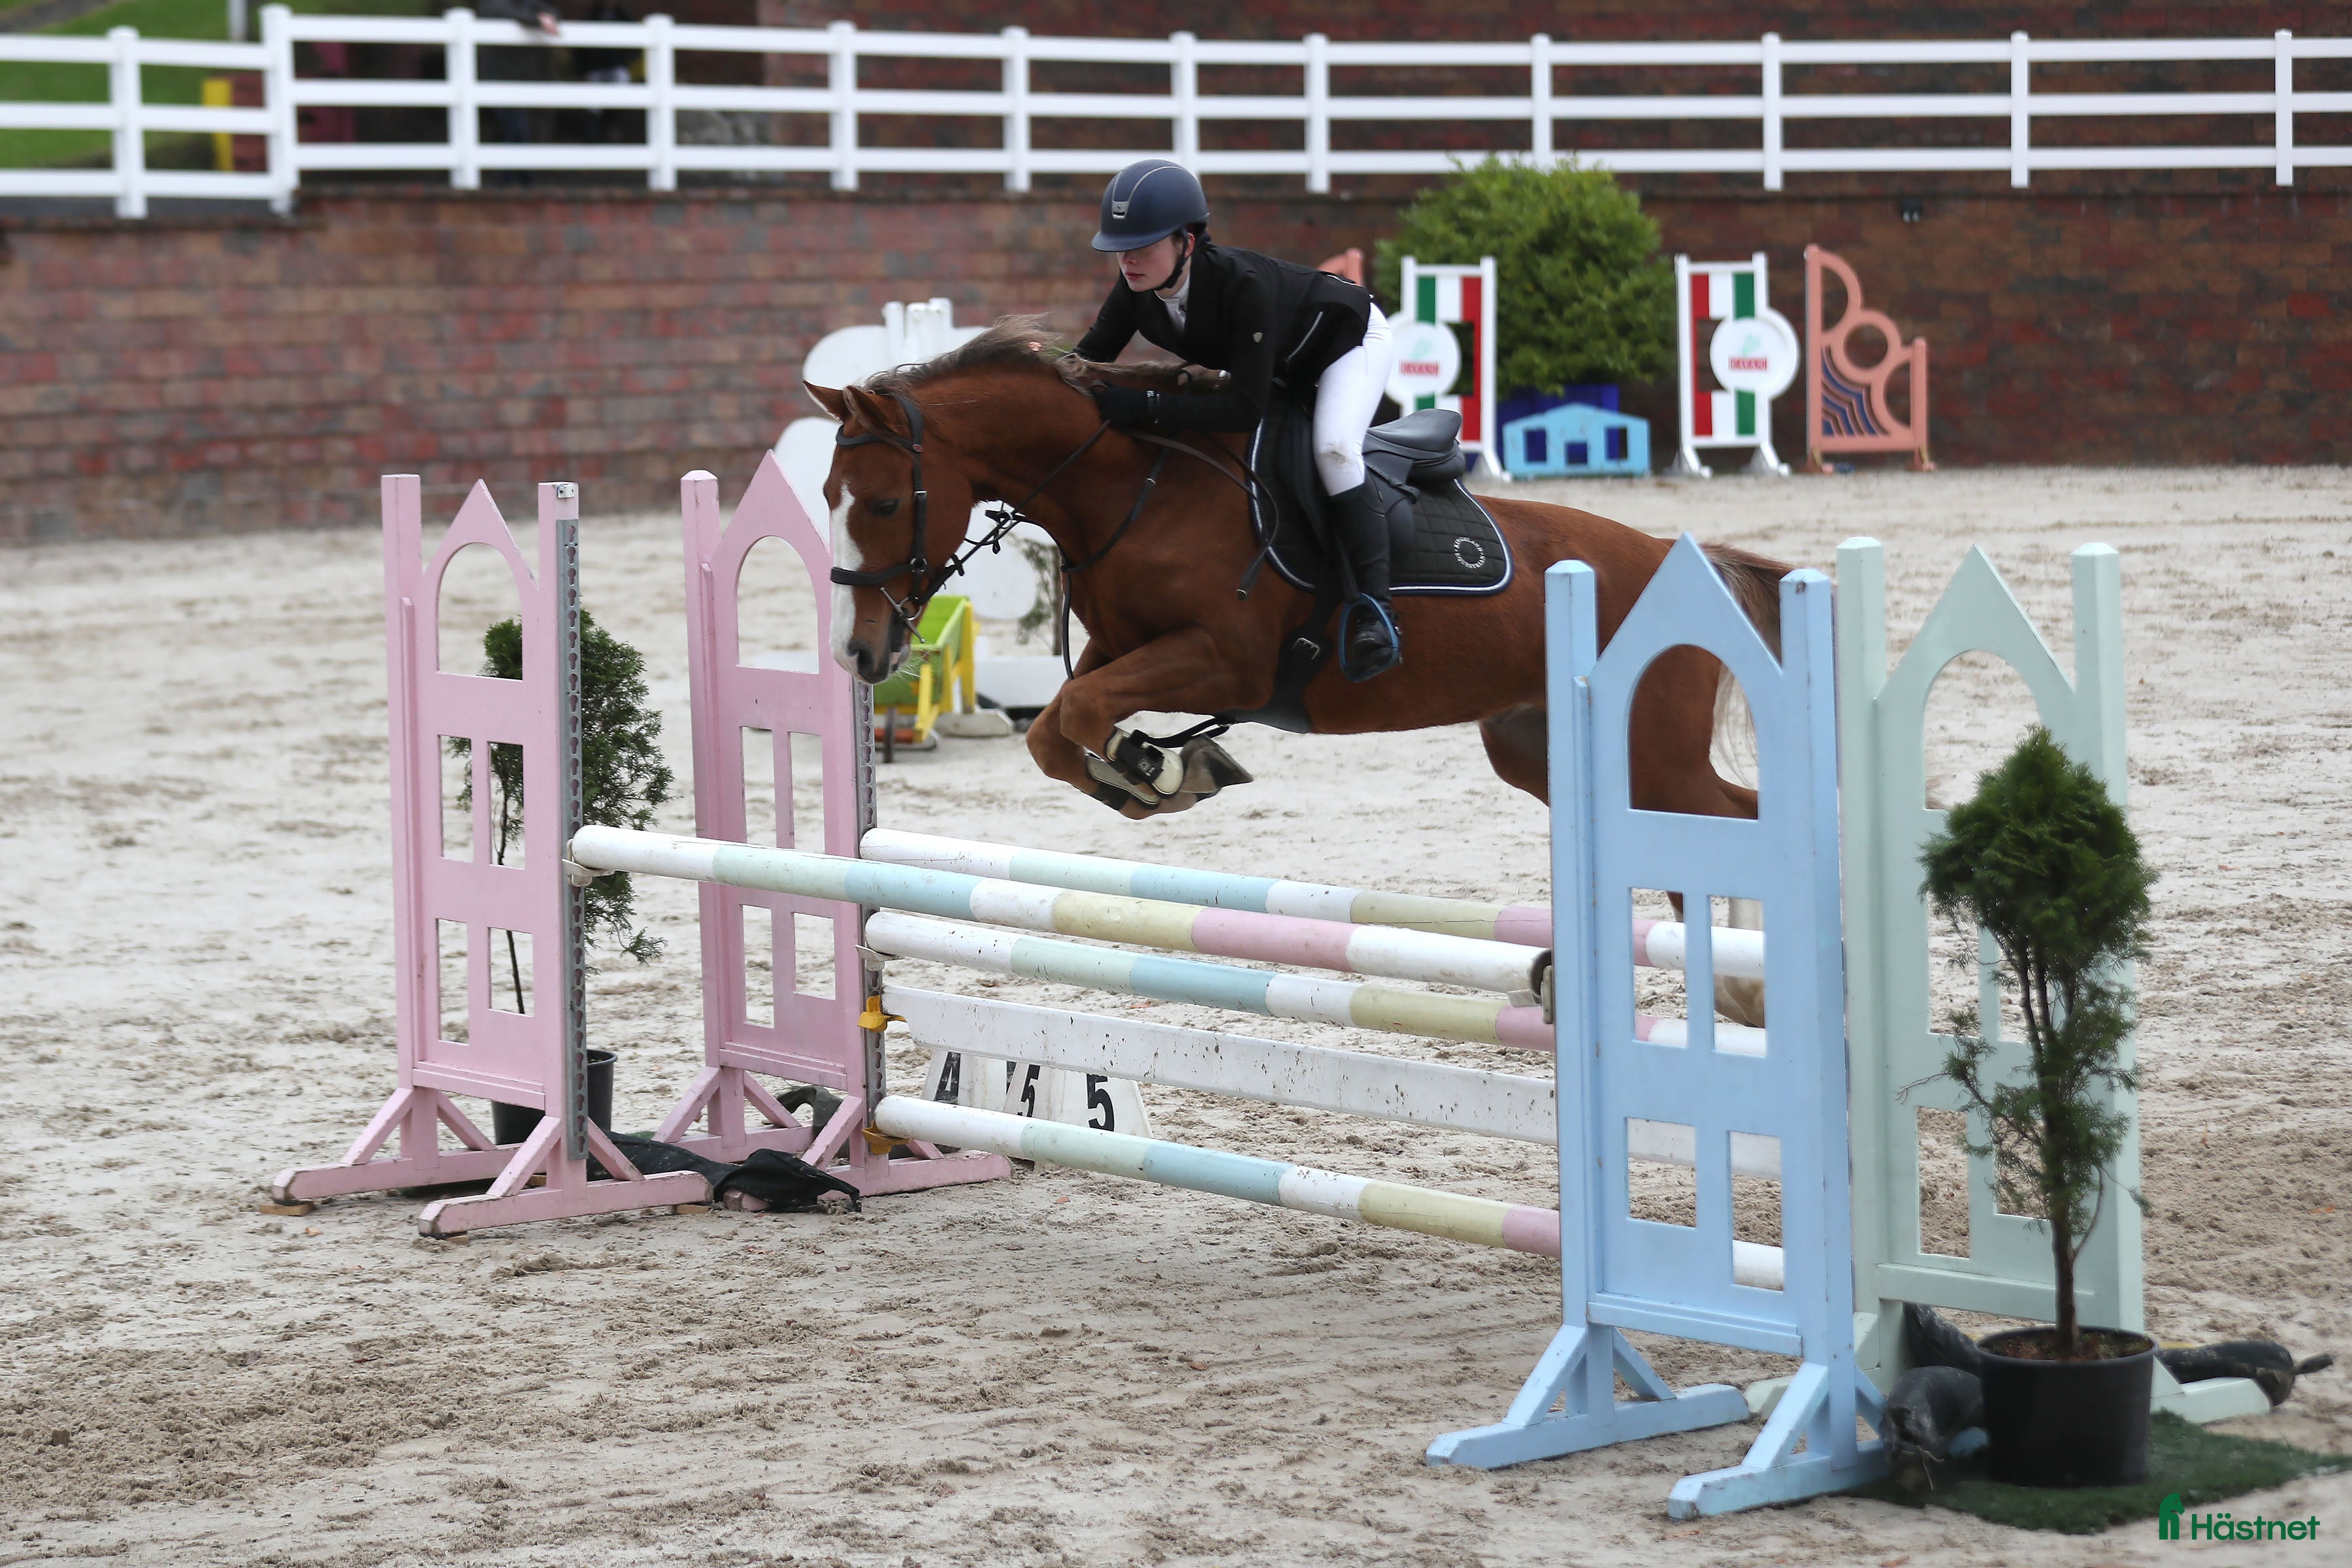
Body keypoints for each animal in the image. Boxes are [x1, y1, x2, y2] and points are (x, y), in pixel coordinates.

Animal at [806, 317, 1789, 831]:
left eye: (885, 504)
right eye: (824, 493)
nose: (857, 655)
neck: (1134, 487)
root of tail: (1681, 563)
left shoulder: (1226, 661)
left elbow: (1080, 715)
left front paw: (1153, 766)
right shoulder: (1122, 651)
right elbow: (1056, 727)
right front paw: (1155, 773)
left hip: (1651, 757)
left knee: (1735, 821)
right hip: (1538, 747)